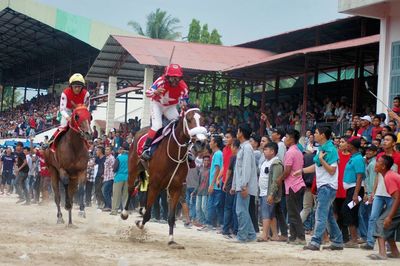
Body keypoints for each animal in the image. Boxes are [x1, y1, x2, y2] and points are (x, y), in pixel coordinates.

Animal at [121, 106, 206, 247]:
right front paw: (139, 223)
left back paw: (141, 209)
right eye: (189, 120)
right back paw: (124, 213)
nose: (201, 142)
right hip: (134, 169)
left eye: (203, 120)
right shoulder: (156, 185)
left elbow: (171, 217)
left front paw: (171, 239)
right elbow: (148, 215)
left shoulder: (176, 188)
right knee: (131, 188)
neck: (174, 152)